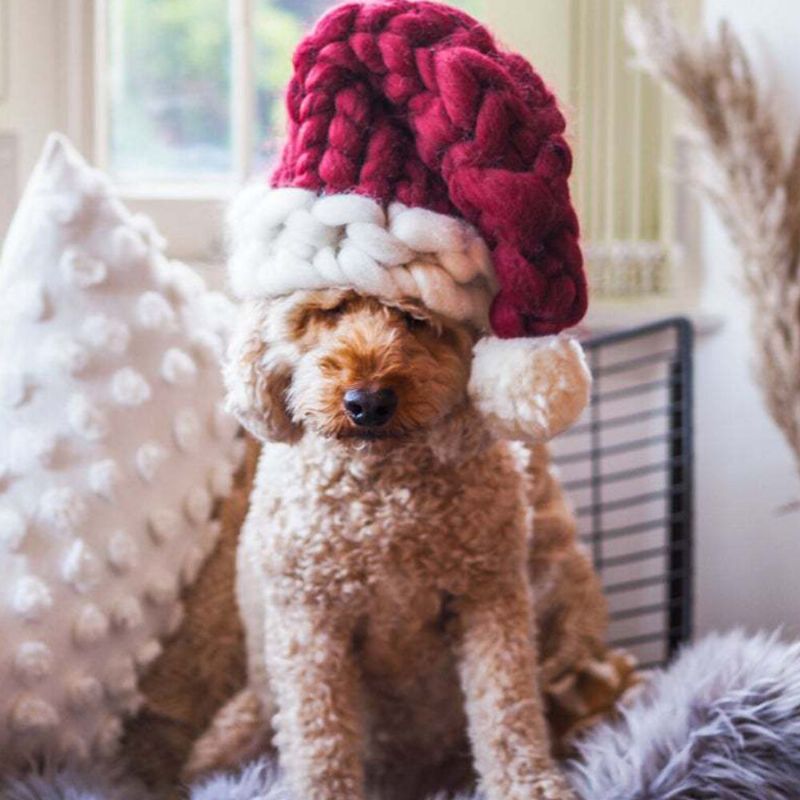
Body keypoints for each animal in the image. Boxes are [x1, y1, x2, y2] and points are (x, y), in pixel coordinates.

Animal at [186, 290, 636, 800]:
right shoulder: (310, 622)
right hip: (238, 725)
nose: (368, 402)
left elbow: (508, 707)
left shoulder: (489, 594)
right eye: (328, 311)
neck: (385, 493)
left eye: (417, 317)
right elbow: (321, 738)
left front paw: (529, 785)